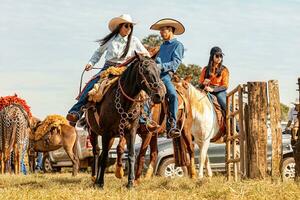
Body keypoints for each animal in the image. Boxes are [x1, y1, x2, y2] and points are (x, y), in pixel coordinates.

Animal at [86, 53, 166, 189]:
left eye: (159, 71)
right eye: (145, 71)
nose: (159, 96)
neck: (125, 102)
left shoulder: (131, 131)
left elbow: (132, 155)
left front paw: (130, 183)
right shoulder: (106, 132)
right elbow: (105, 156)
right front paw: (101, 183)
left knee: (101, 154)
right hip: (94, 131)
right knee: (97, 152)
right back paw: (95, 179)